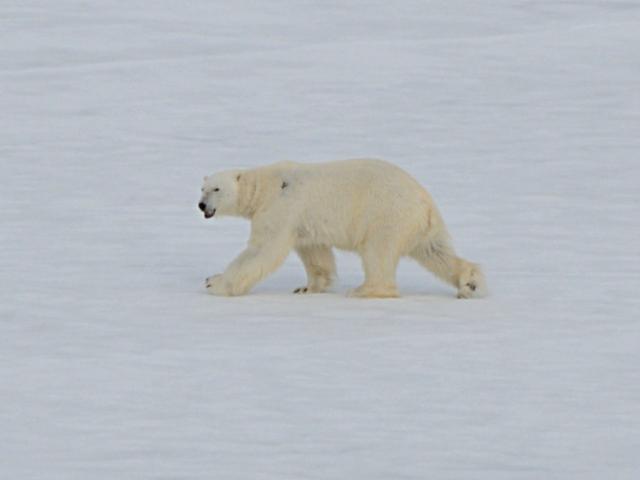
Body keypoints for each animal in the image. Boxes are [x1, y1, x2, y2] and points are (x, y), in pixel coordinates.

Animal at [200, 159, 484, 298]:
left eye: (217, 189)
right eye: (202, 188)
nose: (201, 205)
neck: (264, 186)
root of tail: (426, 203)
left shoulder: (280, 207)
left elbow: (261, 250)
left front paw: (215, 283)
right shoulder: (303, 221)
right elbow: (315, 252)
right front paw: (307, 287)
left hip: (385, 215)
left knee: (377, 253)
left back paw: (363, 290)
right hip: (417, 226)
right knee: (435, 252)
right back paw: (470, 283)